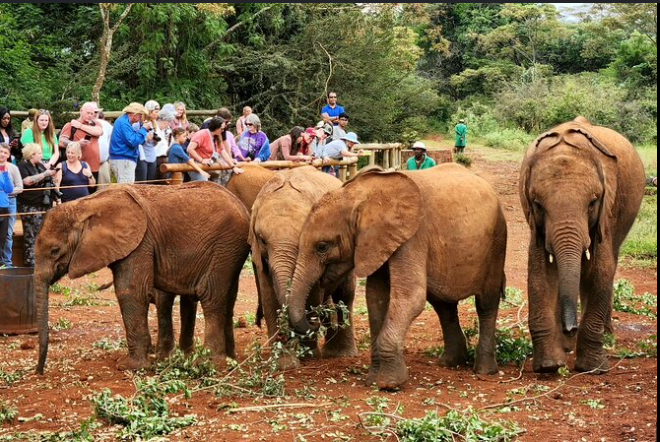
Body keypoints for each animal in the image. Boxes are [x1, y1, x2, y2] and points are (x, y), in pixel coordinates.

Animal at [35, 181, 250, 374]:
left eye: (55, 251)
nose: (39, 371)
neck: (86, 205)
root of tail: (243, 206)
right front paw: (156, 360)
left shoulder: (140, 243)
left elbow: (130, 291)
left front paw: (130, 367)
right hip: (229, 252)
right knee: (225, 299)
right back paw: (227, 360)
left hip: (225, 246)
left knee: (210, 295)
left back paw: (209, 365)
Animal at [250, 166, 357, 368]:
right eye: (262, 240)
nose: (314, 323)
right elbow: (269, 296)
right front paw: (284, 364)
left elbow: (313, 294)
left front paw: (308, 355)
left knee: (345, 295)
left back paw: (340, 353)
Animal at [288, 164, 508, 390]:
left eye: (322, 247)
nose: (316, 322)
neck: (359, 195)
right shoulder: (378, 242)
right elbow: (376, 298)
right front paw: (373, 381)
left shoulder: (412, 237)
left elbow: (411, 297)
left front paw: (389, 384)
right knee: (443, 305)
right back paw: (450, 363)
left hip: (497, 242)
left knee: (485, 304)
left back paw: (484, 371)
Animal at [519, 116, 645, 374]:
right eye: (537, 205)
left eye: (593, 203)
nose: (571, 328)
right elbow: (539, 273)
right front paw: (549, 365)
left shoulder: (607, 211)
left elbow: (601, 271)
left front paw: (593, 368)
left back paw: (606, 336)